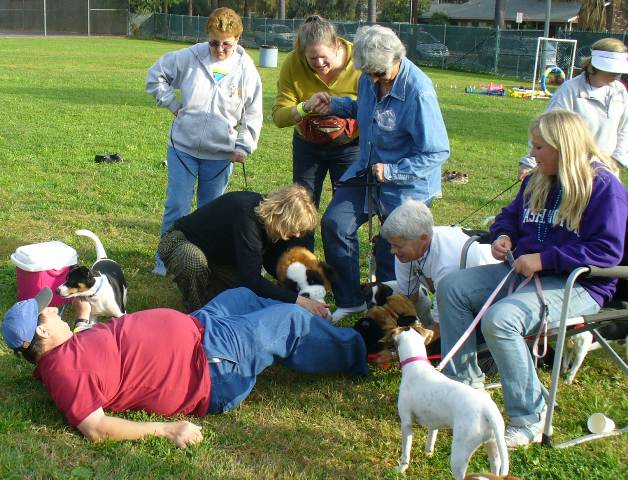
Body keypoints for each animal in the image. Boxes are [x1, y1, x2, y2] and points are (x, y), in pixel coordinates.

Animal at [392, 326, 510, 480]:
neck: (416, 364)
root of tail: (487, 410)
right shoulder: (433, 422)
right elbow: (431, 438)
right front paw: (428, 453)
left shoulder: (406, 422)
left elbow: (406, 450)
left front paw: (402, 468)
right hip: (493, 443)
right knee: (495, 466)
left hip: (459, 455)